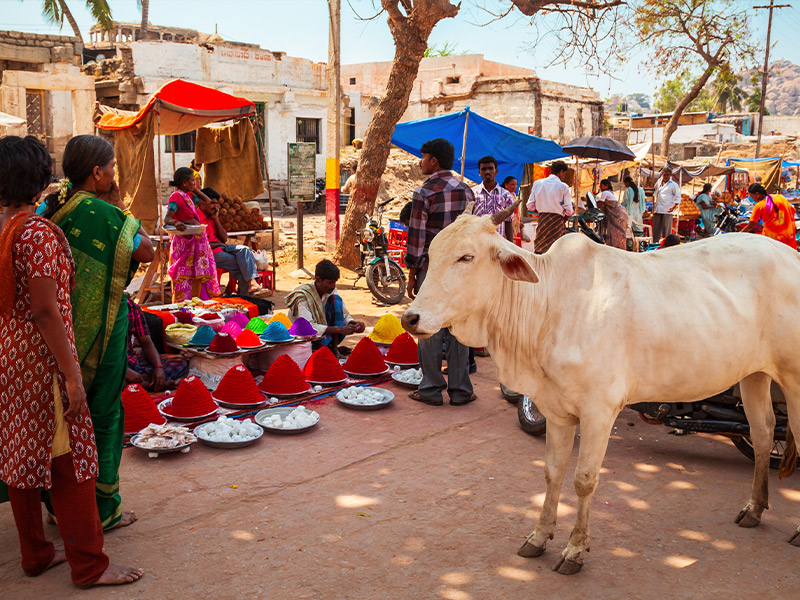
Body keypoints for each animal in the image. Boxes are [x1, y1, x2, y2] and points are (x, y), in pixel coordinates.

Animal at [404, 203, 800, 576]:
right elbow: (552, 472)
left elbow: (584, 479)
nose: (410, 317)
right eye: (433, 252)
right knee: (763, 433)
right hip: (754, 374)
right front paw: (539, 536)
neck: (547, 306)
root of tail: (791, 257)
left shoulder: (599, 411)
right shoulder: (557, 411)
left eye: (466, 257)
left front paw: (575, 550)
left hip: (793, 379)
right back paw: (754, 509)